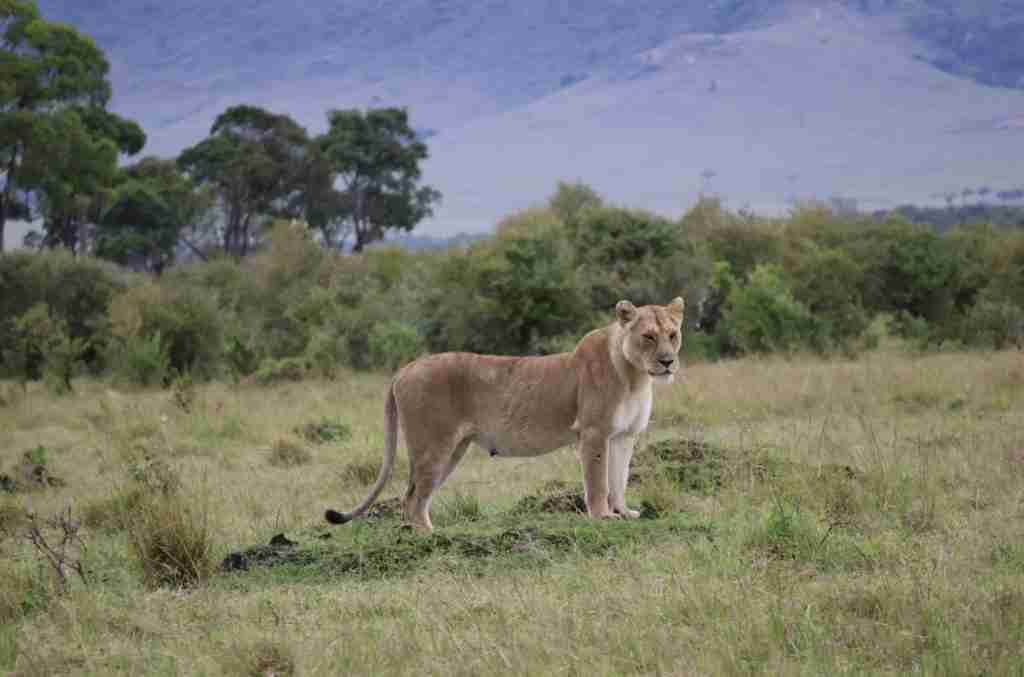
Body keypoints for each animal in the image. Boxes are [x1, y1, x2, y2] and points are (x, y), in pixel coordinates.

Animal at [325, 297, 685, 531]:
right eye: (648, 336)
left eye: (673, 334)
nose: (668, 361)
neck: (636, 377)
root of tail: (405, 369)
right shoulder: (594, 432)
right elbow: (598, 481)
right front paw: (602, 517)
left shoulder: (624, 437)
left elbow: (619, 478)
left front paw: (624, 512)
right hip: (433, 447)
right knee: (410, 500)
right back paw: (431, 538)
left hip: (453, 450)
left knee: (418, 498)